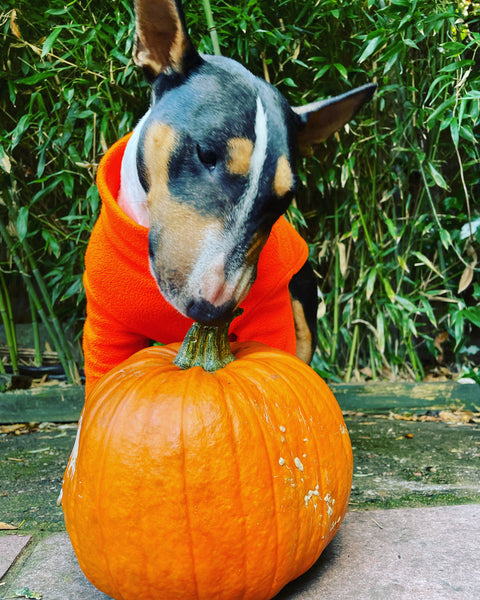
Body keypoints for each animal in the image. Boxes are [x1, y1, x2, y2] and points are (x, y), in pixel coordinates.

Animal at [81, 0, 376, 396]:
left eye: (286, 198)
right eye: (206, 153)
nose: (212, 311)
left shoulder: (272, 315)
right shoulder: (105, 326)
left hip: (302, 297)